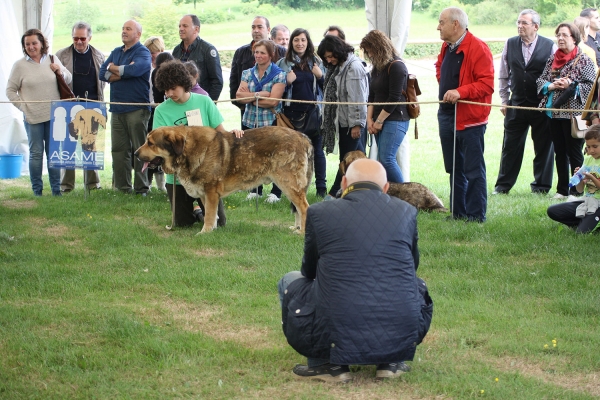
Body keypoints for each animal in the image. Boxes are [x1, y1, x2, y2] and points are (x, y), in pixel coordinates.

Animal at [136, 126, 314, 233]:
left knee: (304, 208)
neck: (186, 150)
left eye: (150, 143)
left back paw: (302, 232)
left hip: (289, 184)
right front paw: (212, 230)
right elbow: (211, 213)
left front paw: (205, 232)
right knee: (299, 209)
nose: (136, 154)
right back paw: (297, 228)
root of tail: (303, 137)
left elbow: (209, 215)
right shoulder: (204, 193)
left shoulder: (211, 191)